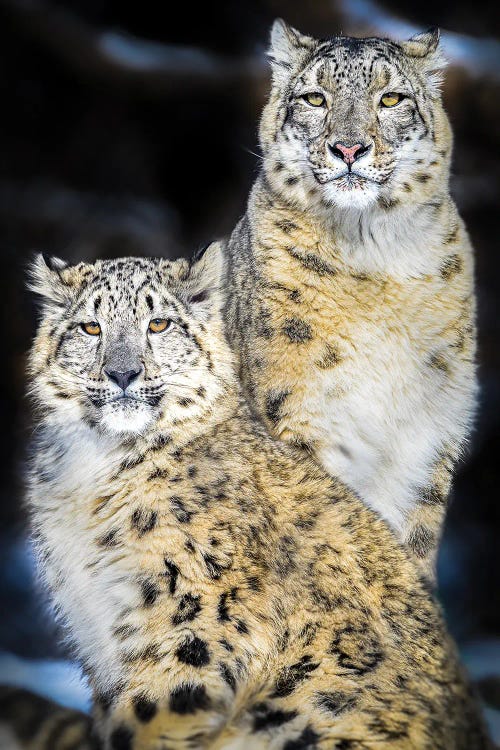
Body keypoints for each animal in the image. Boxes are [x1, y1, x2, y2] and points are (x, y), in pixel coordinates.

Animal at [6, 248, 488, 750]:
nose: (123, 373)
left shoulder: (191, 623)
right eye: (90, 327)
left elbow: (148, 717)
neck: (92, 469)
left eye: (158, 324)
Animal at [224, 22, 476, 576]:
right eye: (315, 98)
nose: (348, 149)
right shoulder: (298, 411)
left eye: (391, 98)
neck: (377, 268)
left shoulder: (428, 437)